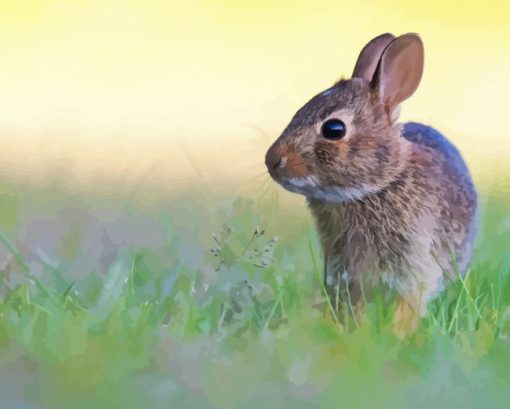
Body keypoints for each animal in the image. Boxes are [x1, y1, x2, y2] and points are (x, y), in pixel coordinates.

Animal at [264, 31, 480, 332]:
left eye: (334, 129)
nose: (272, 161)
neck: (378, 185)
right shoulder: (345, 271)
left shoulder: (415, 264)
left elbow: (408, 303)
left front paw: (396, 335)